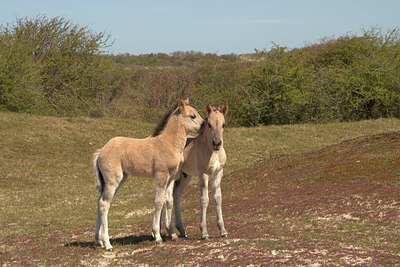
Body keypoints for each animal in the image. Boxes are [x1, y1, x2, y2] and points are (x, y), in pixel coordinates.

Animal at [92, 100, 202, 251]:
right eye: (192, 116)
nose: (205, 125)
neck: (168, 143)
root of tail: (101, 152)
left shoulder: (171, 178)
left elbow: (169, 201)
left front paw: (172, 234)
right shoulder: (161, 175)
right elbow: (158, 202)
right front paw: (157, 236)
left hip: (120, 179)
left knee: (99, 201)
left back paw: (99, 241)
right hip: (113, 180)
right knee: (104, 203)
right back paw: (107, 244)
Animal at [168, 104, 228, 241]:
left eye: (223, 124)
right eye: (209, 124)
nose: (217, 144)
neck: (213, 152)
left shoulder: (218, 174)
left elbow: (218, 198)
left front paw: (223, 230)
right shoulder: (203, 175)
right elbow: (204, 200)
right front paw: (204, 232)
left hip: (186, 177)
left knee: (176, 195)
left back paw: (182, 230)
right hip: (172, 176)